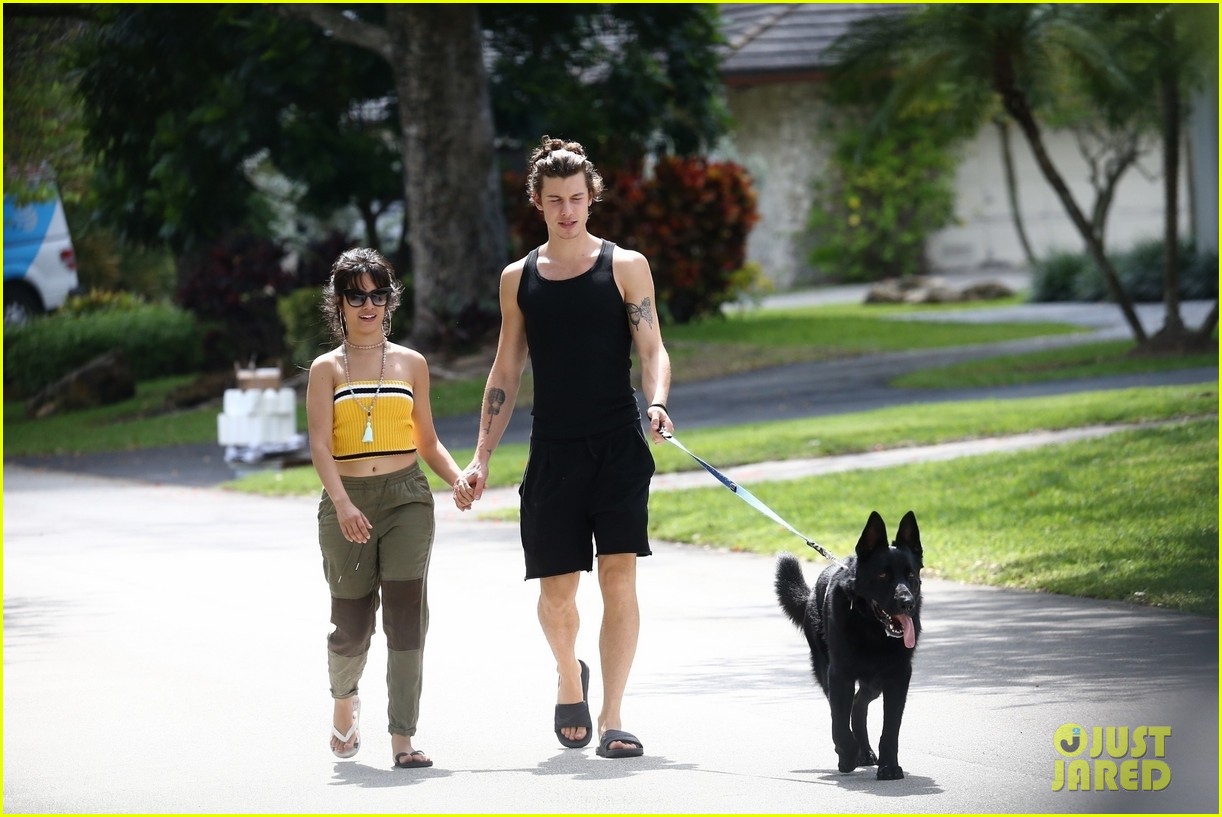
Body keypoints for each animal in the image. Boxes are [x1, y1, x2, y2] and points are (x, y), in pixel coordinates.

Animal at [775, 510, 923, 780]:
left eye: (911, 575)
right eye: (883, 575)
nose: (907, 603)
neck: (872, 630)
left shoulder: (898, 677)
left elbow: (891, 728)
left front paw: (889, 766)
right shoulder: (839, 675)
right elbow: (839, 722)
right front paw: (847, 755)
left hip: (874, 682)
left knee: (858, 704)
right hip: (828, 672)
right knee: (848, 708)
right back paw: (856, 752)